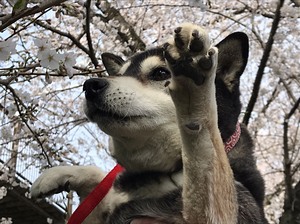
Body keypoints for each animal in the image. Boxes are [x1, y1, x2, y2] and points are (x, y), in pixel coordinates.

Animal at [31, 23, 268, 223]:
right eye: (120, 74)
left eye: (161, 73)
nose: (90, 86)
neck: (164, 171)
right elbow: (101, 181)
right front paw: (57, 174)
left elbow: (205, 153)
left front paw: (193, 82)